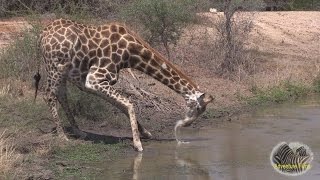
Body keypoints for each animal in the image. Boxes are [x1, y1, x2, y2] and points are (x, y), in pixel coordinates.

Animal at [37, 18, 212, 151]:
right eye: (198, 108)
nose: (186, 125)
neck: (131, 54)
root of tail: (42, 34)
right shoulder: (94, 78)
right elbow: (129, 103)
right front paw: (138, 144)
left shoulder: (89, 82)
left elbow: (121, 104)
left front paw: (145, 133)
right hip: (56, 67)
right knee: (48, 95)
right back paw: (62, 136)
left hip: (63, 71)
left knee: (61, 95)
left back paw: (79, 132)